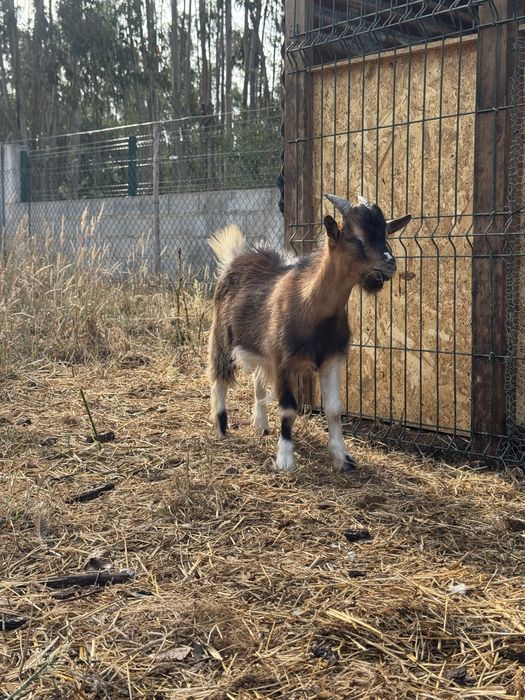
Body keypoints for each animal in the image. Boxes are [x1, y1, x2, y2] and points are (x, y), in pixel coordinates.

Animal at [207, 193, 411, 472]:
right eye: (354, 237)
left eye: (385, 232)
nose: (389, 264)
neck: (310, 305)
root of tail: (235, 258)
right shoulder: (284, 361)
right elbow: (288, 409)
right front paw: (284, 459)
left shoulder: (331, 359)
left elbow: (334, 410)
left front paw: (343, 458)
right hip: (221, 335)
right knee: (219, 377)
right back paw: (221, 426)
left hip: (263, 349)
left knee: (258, 379)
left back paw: (261, 425)